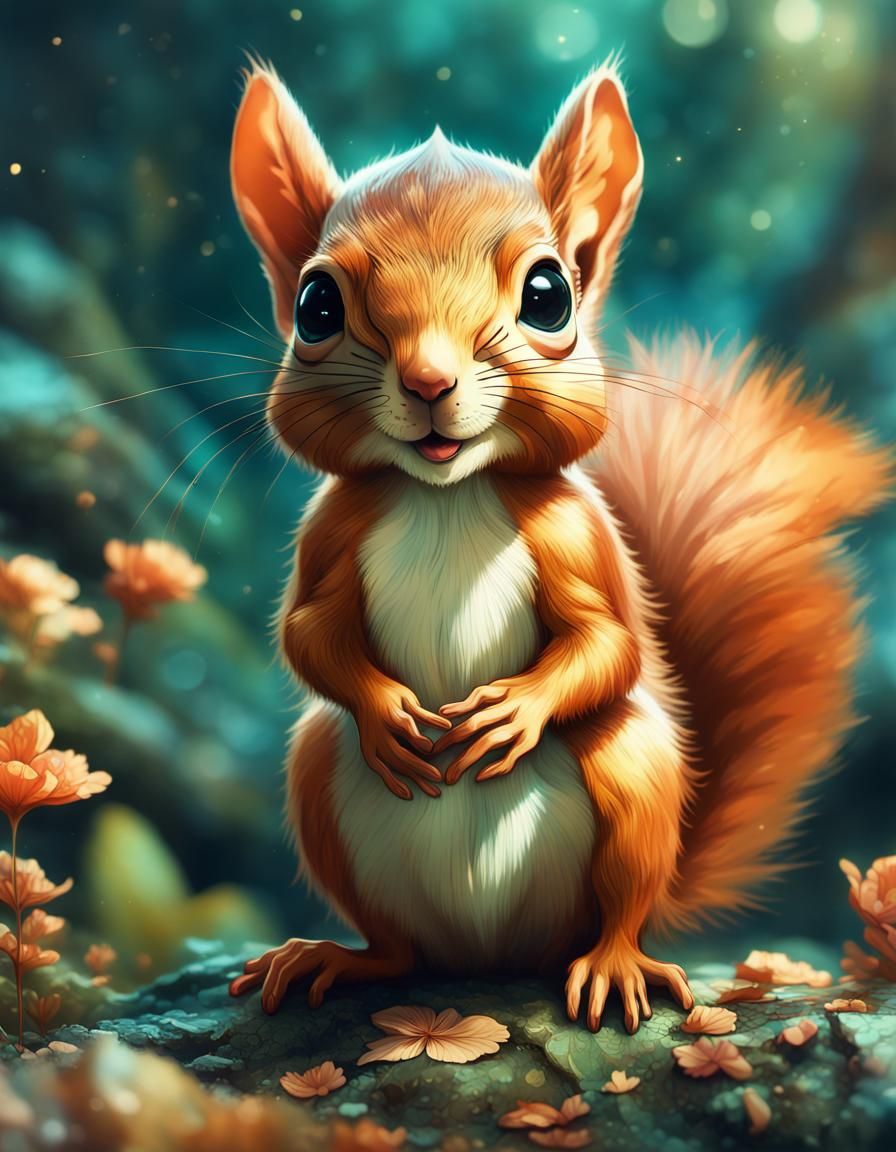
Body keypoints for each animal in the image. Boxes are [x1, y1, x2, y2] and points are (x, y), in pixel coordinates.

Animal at [226, 59, 891, 1032]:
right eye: (315, 307)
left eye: (548, 296)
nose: (429, 382)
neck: (446, 496)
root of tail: (485, 956)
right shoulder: (331, 531)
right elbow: (307, 631)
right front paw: (389, 714)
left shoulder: (576, 532)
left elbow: (610, 640)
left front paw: (514, 711)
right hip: (318, 776)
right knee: (395, 946)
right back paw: (337, 958)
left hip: (631, 775)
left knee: (616, 901)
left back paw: (613, 964)